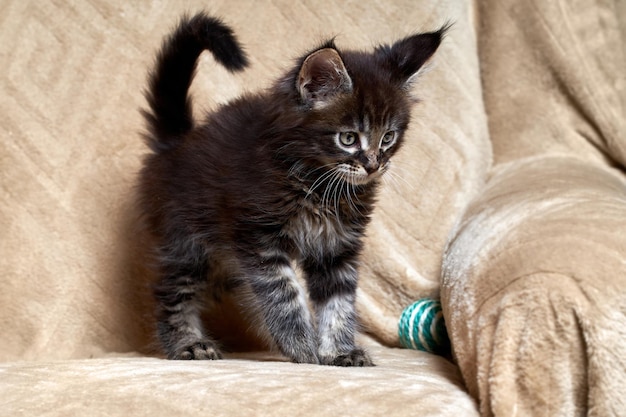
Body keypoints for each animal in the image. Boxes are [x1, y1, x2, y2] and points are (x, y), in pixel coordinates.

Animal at [140, 11, 444, 366]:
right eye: (348, 138)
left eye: (388, 138)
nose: (373, 165)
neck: (320, 185)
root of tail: (178, 141)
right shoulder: (259, 237)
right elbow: (284, 293)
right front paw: (302, 347)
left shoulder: (337, 247)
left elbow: (338, 302)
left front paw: (338, 350)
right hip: (187, 242)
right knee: (173, 292)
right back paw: (188, 343)